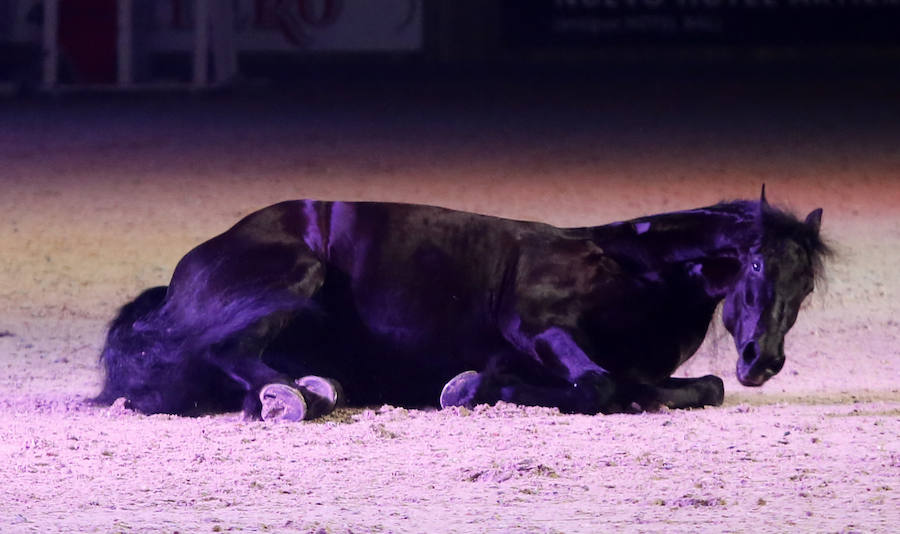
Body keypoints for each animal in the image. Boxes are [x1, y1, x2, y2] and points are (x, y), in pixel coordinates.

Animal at [93, 189, 828, 422]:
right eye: (757, 263)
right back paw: (289, 397)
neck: (629, 267)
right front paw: (475, 386)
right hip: (297, 275)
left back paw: (311, 388)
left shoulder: (649, 370)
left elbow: (695, 388)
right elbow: (594, 384)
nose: (763, 360)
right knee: (223, 350)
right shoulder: (534, 325)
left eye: (807, 286)